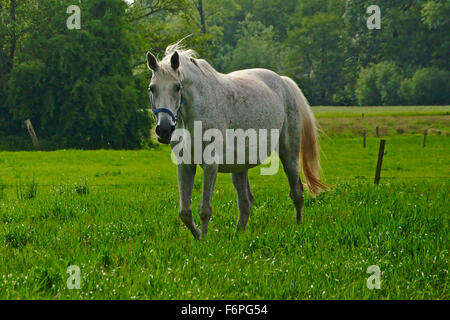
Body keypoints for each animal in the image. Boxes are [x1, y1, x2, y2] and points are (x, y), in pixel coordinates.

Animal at [147, 42, 326, 238]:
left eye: (177, 87)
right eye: (152, 88)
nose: (164, 129)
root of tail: (284, 82)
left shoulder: (211, 164)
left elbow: (205, 209)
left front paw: (204, 240)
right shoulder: (185, 164)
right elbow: (185, 212)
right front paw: (199, 237)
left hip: (289, 155)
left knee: (297, 193)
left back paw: (298, 227)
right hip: (240, 166)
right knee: (245, 202)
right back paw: (239, 233)